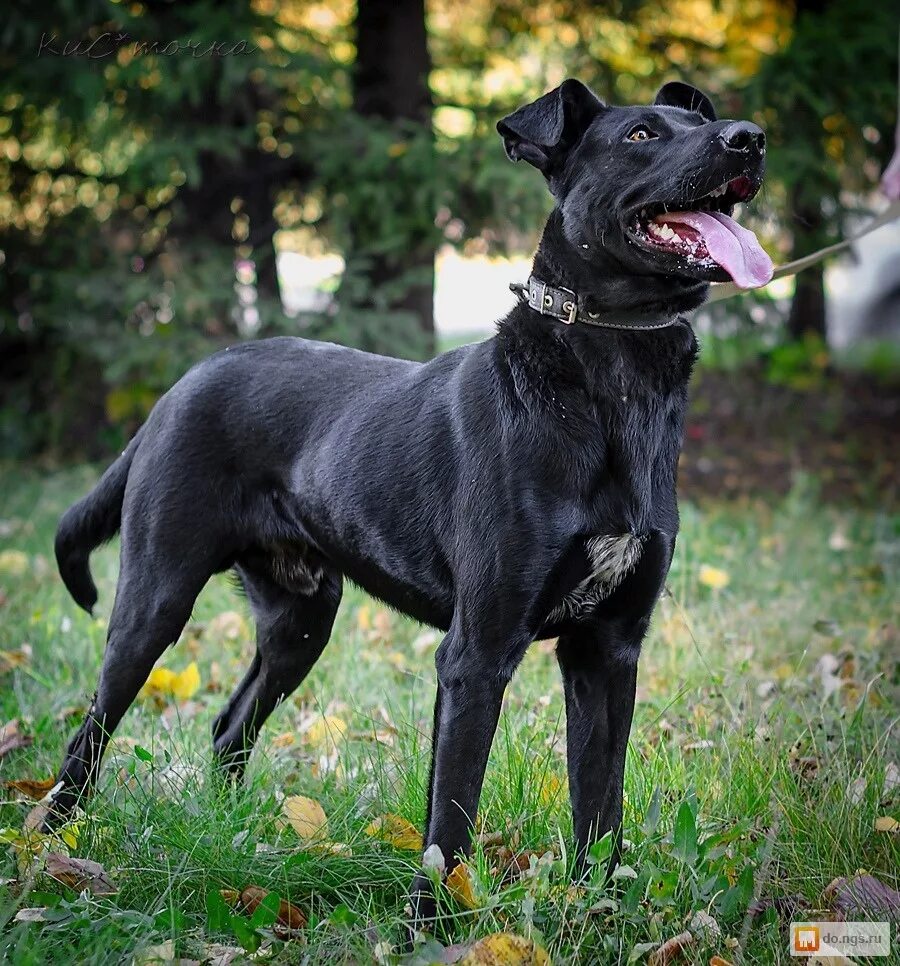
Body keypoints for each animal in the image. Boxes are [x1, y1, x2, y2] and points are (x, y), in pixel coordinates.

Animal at [51, 79, 768, 920]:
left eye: (700, 119)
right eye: (642, 134)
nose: (750, 138)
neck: (612, 379)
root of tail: (183, 383)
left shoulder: (609, 649)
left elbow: (601, 810)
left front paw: (601, 919)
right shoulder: (475, 655)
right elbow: (448, 820)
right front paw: (431, 926)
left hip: (300, 621)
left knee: (229, 728)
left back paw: (234, 840)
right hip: (156, 600)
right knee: (90, 734)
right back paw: (51, 849)